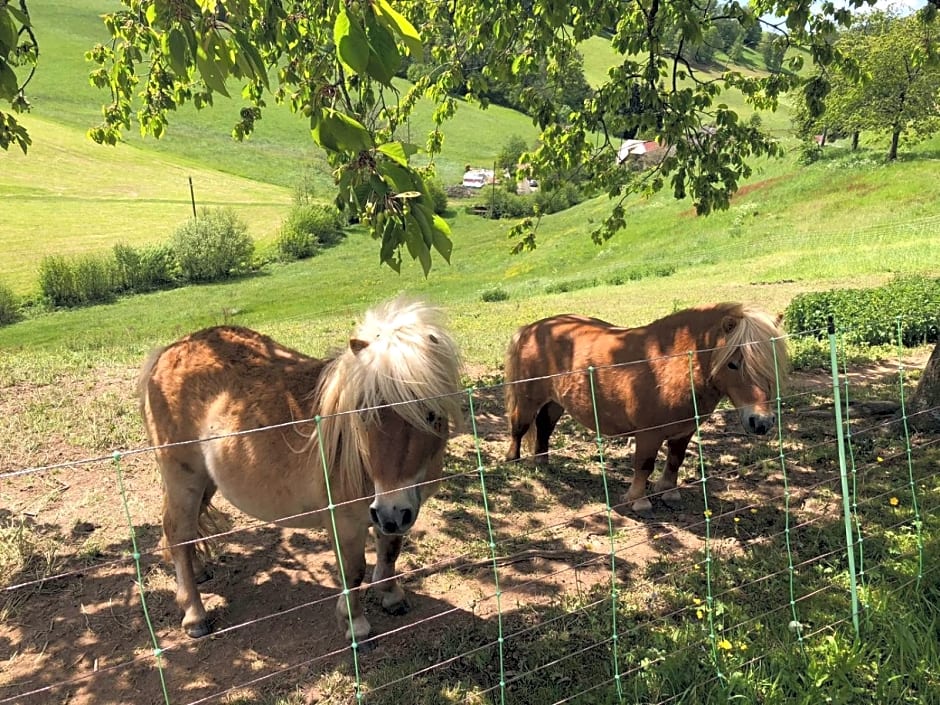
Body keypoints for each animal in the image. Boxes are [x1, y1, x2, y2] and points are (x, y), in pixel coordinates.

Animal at [139, 296, 462, 644]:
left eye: (431, 414)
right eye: (364, 413)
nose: (389, 512)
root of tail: (169, 351)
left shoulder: (400, 508)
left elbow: (390, 551)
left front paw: (391, 595)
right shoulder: (346, 522)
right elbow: (353, 571)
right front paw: (354, 624)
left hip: (205, 481)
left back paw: (198, 571)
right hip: (182, 478)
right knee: (178, 533)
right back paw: (195, 615)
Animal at [506, 302, 784, 512]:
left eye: (771, 362)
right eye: (733, 364)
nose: (761, 422)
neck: (670, 362)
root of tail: (532, 328)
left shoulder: (684, 431)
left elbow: (675, 460)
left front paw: (669, 492)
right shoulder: (648, 433)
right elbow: (644, 465)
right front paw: (638, 501)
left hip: (556, 402)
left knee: (544, 427)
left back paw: (542, 462)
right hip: (529, 399)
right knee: (519, 426)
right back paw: (513, 460)